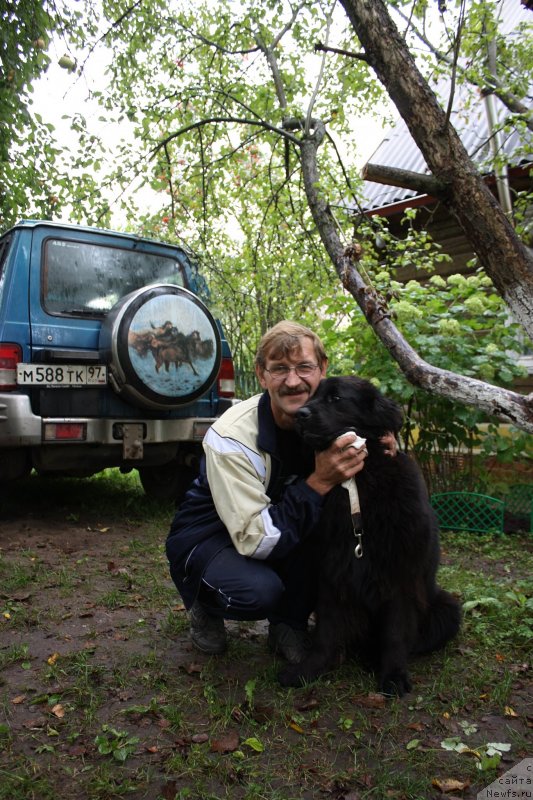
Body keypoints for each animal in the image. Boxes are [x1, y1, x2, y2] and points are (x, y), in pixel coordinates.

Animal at [278, 376, 462, 692]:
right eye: (313, 395)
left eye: (336, 398)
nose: (300, 414)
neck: (358, 484)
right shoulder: (332, 572)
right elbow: (325, 632)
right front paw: (308, 670)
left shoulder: (400, 576)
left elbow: (396, 633)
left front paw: (393, 676)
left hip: (447, 608)